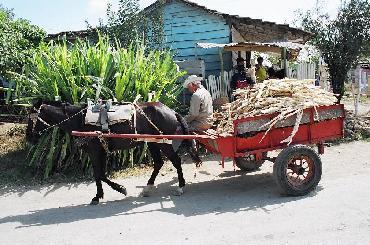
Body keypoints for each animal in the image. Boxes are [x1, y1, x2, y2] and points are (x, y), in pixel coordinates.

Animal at [26, 100, 202, 205]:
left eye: (31, 118)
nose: (28, 138)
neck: (79, 121)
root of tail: (171, 111)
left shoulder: (94, 151)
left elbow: (98, 174)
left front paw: (107, 193)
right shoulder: (101, 151)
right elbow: (101, 175)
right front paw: (109, 192)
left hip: (164, 143)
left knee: (176, 161)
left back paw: (180, 186)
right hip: (153, 142)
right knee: (159, 163)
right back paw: (148, 187)